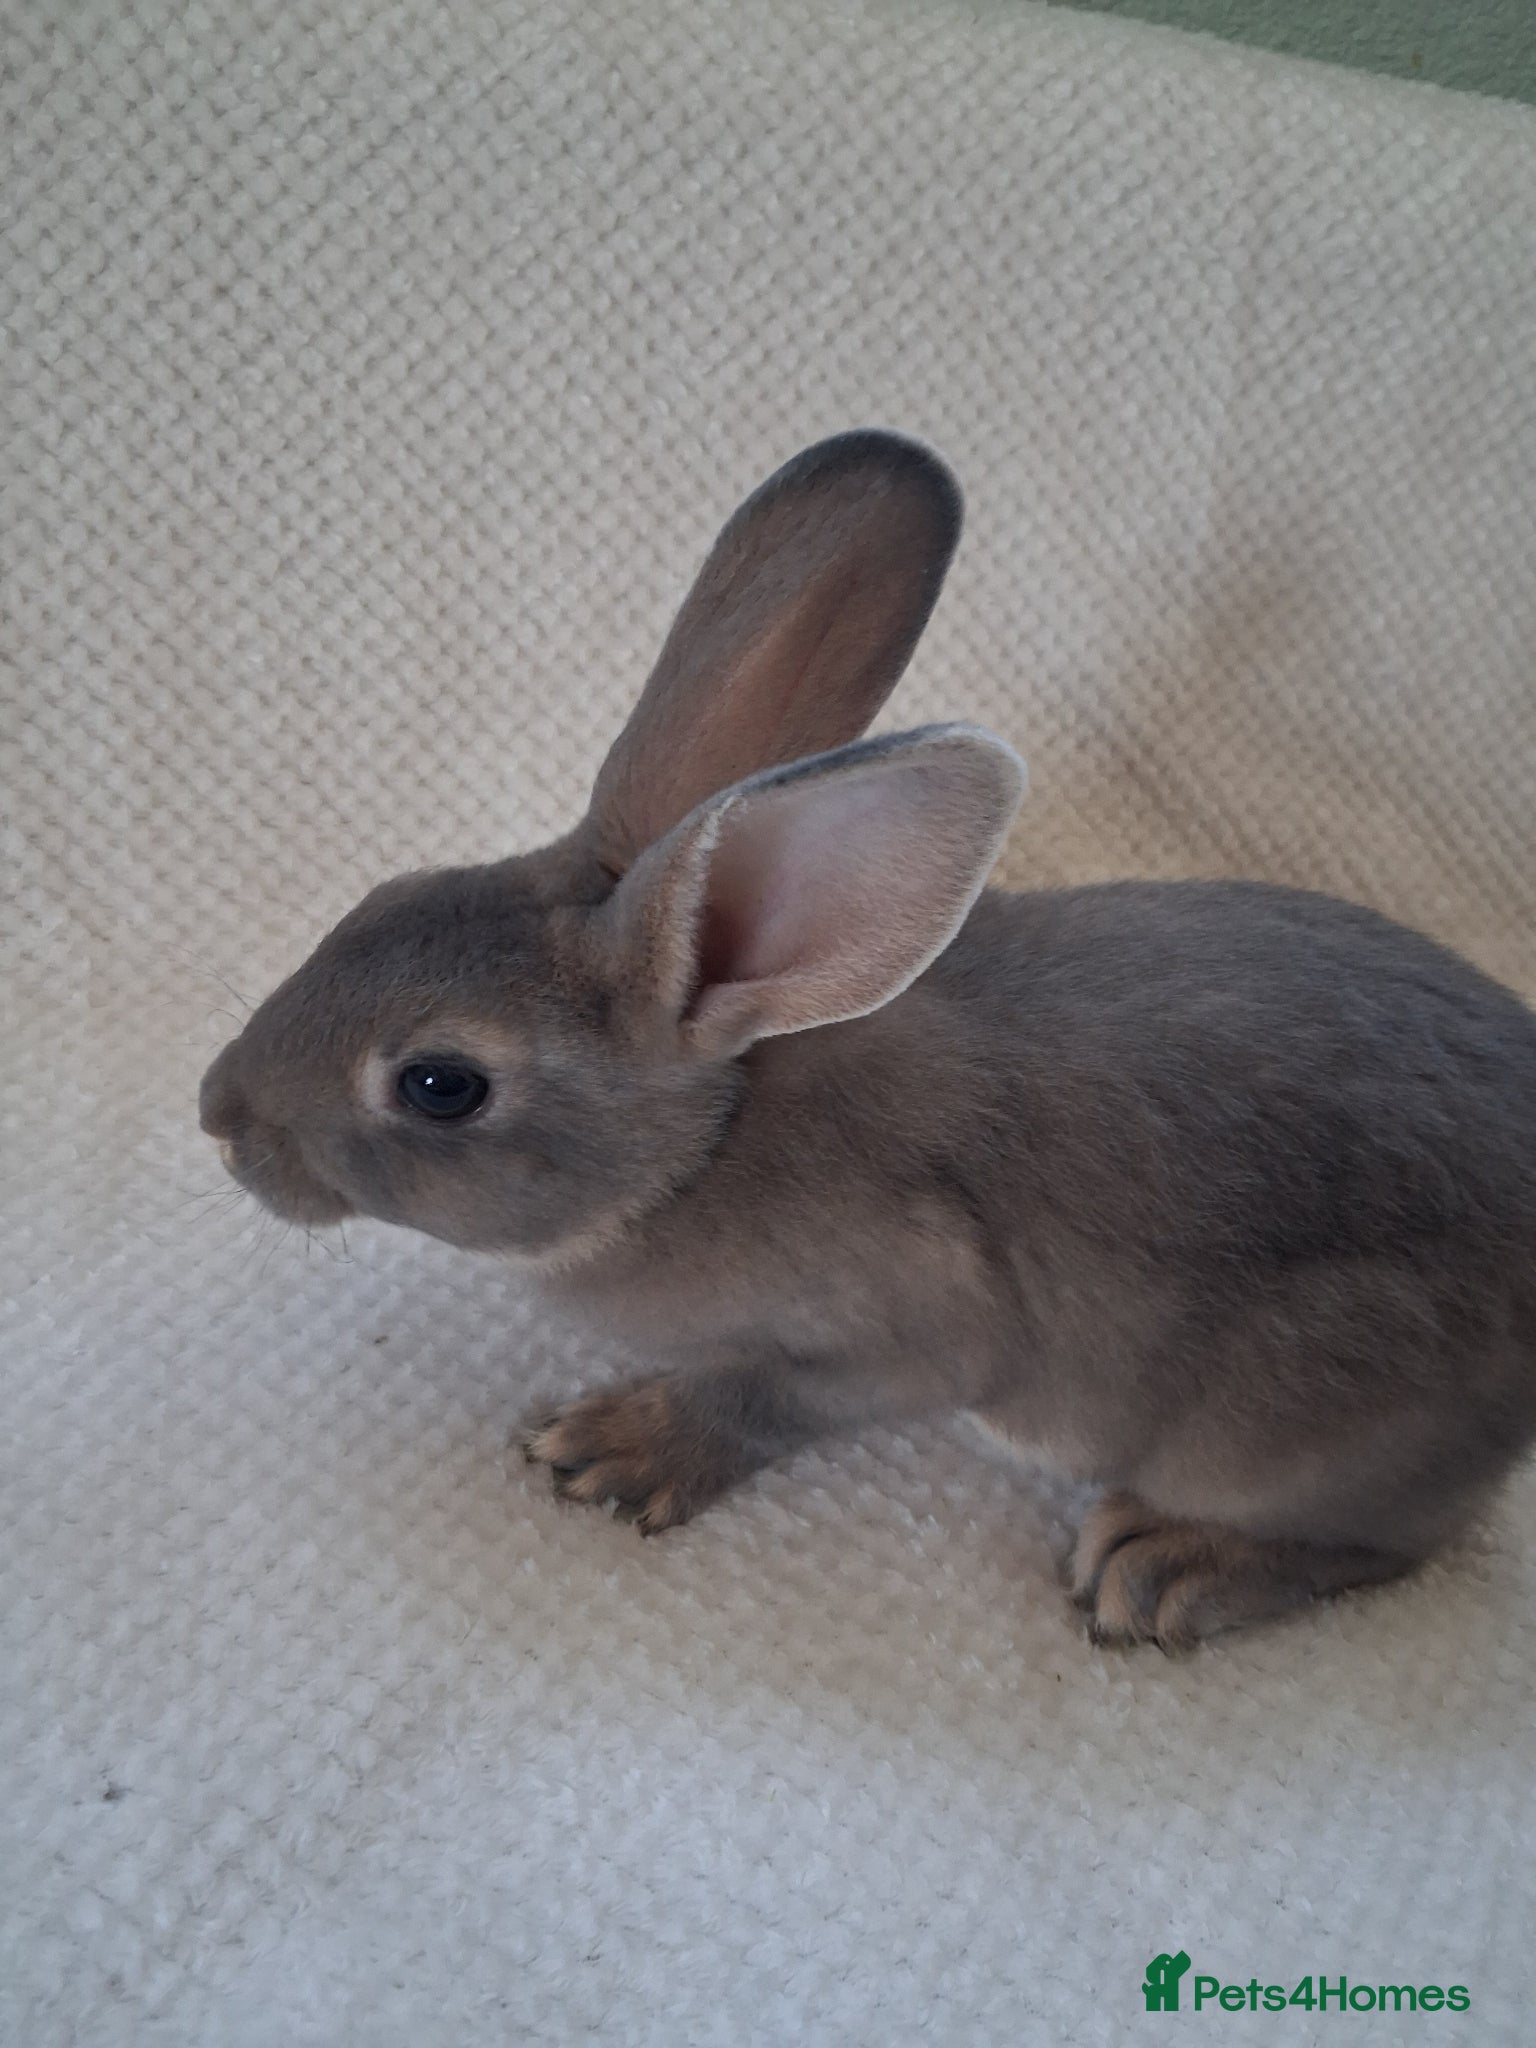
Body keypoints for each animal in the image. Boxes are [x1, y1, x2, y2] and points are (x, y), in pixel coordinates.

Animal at [200, 429, 1536, 1650]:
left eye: (440, 1083)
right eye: (378, 899)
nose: (221, 1113)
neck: (702, 1143)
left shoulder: (907, 1329)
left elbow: (770, 1397)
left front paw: (617, 1449)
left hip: (1299, 1423)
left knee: (1391, 1541)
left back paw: (1172, 1567)